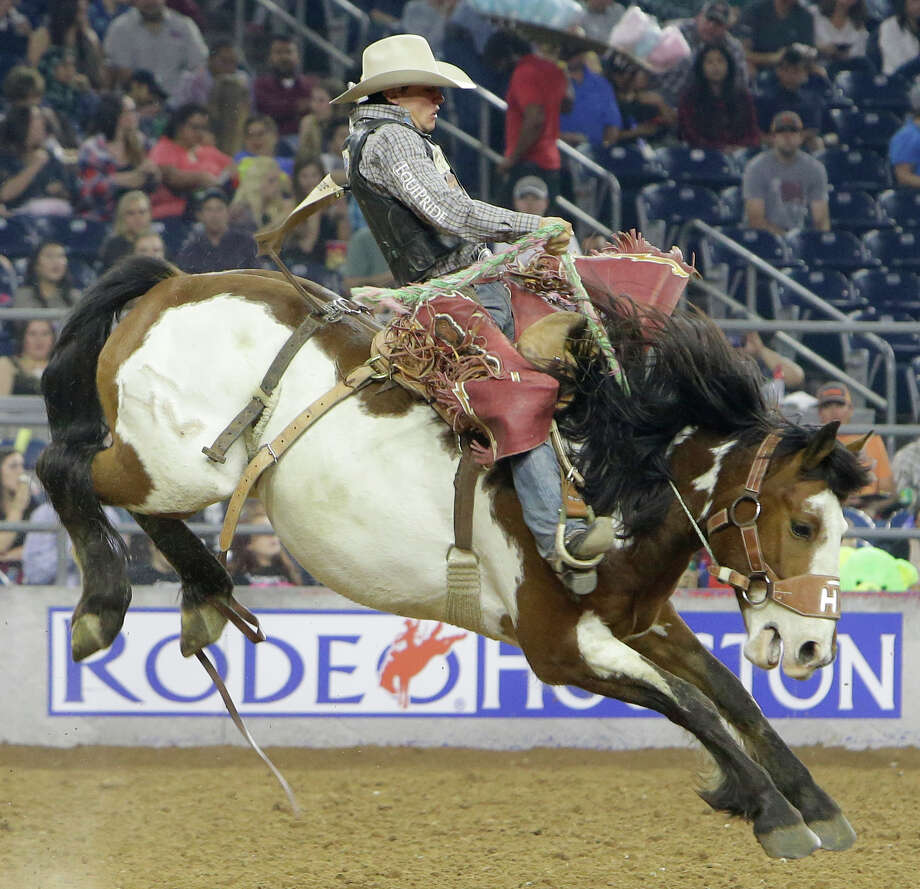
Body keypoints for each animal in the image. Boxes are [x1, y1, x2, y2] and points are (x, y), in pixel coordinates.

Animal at [37, 256, 868, 860]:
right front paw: (769, 810)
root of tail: (177, 282)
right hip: (173, 463)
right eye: (803, 524)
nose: (810, 646)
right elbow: (688, 701)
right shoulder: (559, 646)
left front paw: (814, 801)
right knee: (62, 465)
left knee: (132, 502)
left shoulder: (640, 618)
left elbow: (729, 693)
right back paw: (102, 606)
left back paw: (205, 595)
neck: (604, 474)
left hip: (173, 469)